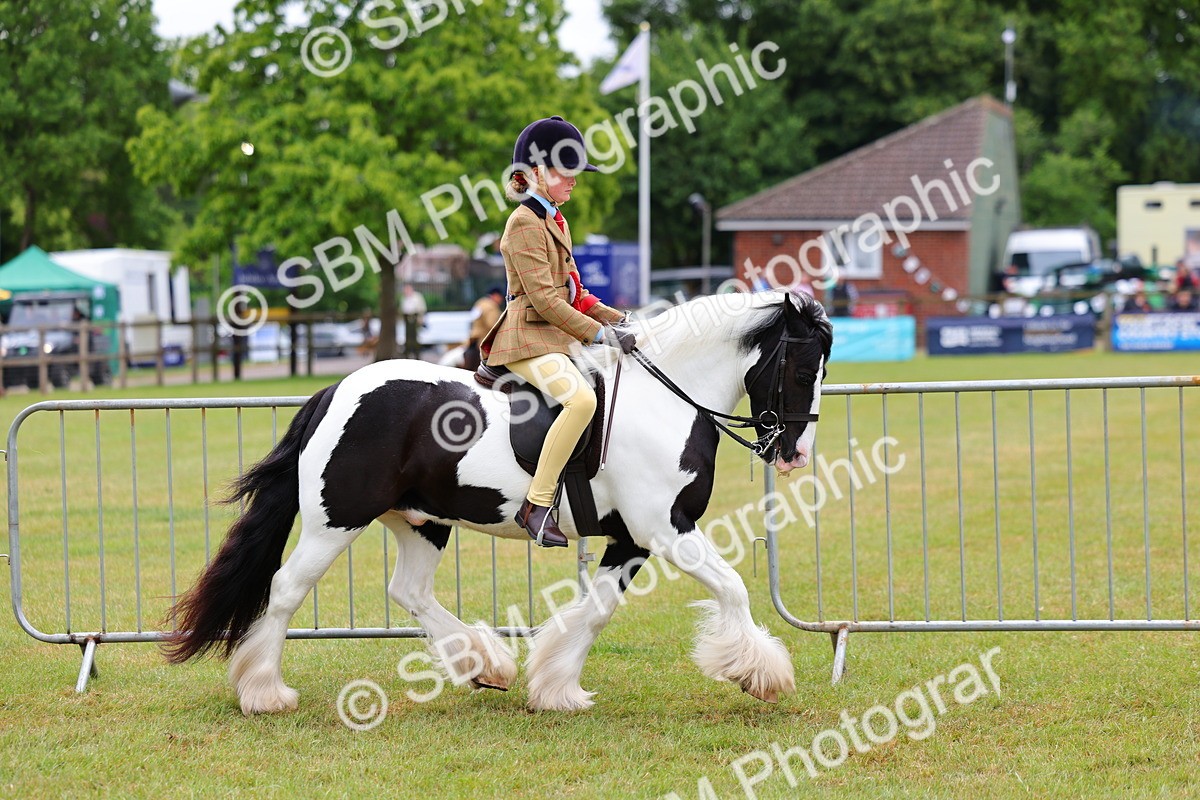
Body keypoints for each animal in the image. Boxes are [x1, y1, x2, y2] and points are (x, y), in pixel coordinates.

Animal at [164, 290, 832, 714]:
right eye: (803, 373)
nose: (794, 455)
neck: (664, 398)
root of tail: (335, 390)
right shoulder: (665, 529)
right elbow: (734, 587)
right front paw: (760, 674)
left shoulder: (631, 539)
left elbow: (596, 612)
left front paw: (557, 688)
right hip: (337, 521)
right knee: (285, 591)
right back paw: (264, 693)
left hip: (423, 521)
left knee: (409, 591)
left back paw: (484, 665)